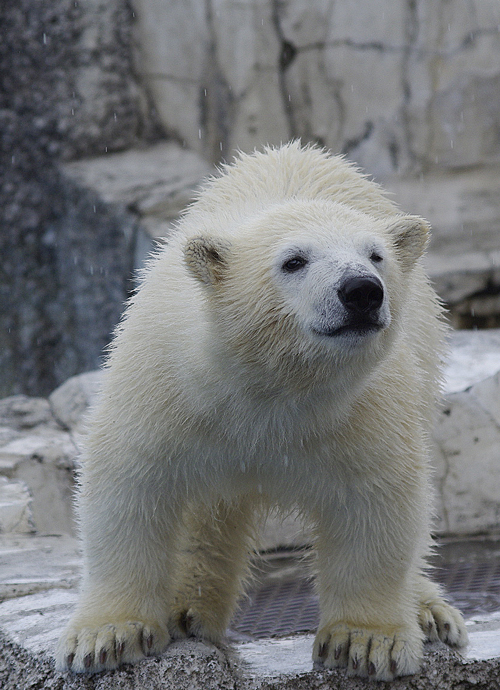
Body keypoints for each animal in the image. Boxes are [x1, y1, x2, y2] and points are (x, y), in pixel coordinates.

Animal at [56, 141, 466, 676]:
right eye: (293, 261)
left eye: (375, 254)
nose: (362, 290)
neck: (269, 386)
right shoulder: (165, 385)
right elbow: (129, 485)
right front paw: (107, 636)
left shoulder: (364, 408)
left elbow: (377, 504)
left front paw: (364, 641)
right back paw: (187, 608)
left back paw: (431, 611)